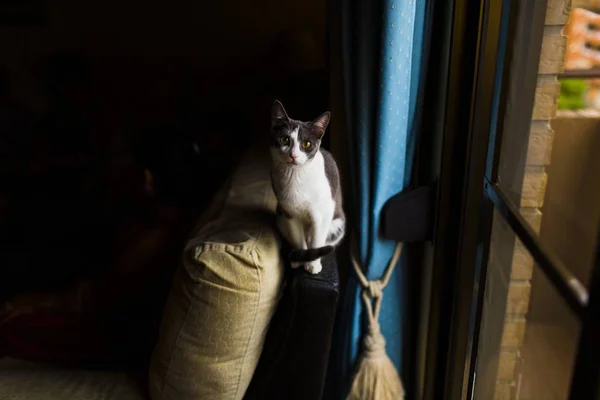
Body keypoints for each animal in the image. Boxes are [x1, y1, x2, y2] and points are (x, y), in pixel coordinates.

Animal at [268, 101, 344, 276]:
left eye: (306, 144)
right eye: (284, 139)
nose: (293, 155)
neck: (295, 176)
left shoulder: (321, 214)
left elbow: (316, 240)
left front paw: (313, 265)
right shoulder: (289, 213)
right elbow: (298, 238)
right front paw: (300, 259)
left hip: (337, 225)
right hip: (280, 218)